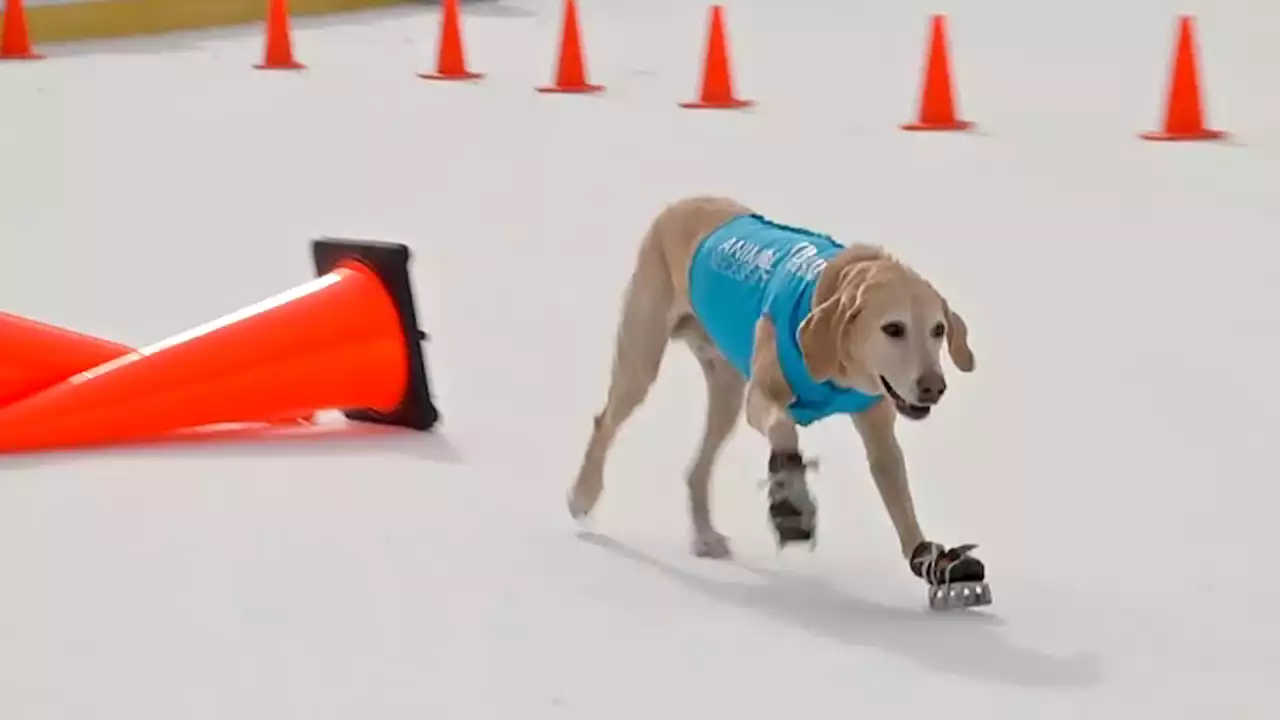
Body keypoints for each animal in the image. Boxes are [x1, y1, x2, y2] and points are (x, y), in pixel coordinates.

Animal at [568, 194, 988, 604]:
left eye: (937, 330)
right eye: (893, 329)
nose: (933, 387)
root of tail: (680, 204)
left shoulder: (876, 423)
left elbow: (897, 491)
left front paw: (930, 560)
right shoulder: (763, 397)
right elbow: (784, 428)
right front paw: (792, 500)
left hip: (725, 393)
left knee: (698, 468)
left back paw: (704, 535)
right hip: (642, 360)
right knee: (606, 422)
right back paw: (582, 495)